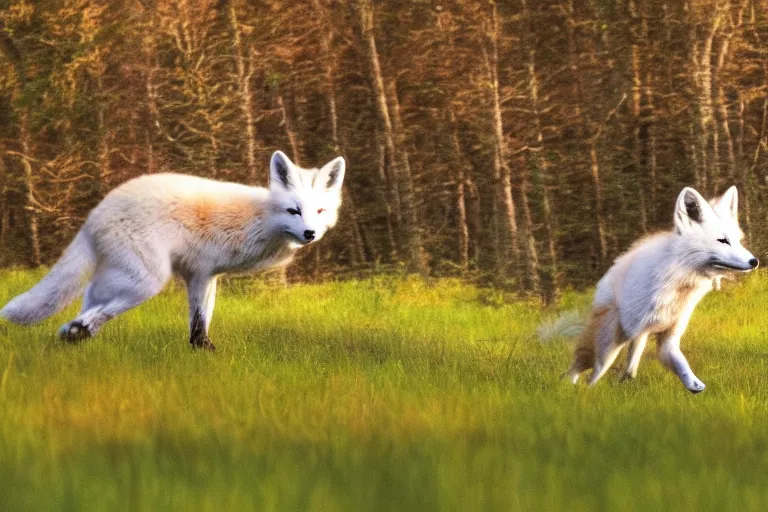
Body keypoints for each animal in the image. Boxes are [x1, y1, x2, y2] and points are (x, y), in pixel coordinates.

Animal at [0, 149, 342, 348]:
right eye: (293, 211)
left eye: (319, 211)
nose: (310, 233)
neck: (260, 219)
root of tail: (96, 213)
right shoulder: (200, 273)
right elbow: (199, 319)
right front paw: (203, 350)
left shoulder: (205, 275)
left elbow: (201, 321)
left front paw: (202, 351)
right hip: (147, 281)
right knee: (100, 306)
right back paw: (78, 330)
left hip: (122, 276)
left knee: (89, 298)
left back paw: (75, 334)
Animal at [564, 187, 756, 392]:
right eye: (723, 241)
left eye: (738, 241)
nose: (755, 261)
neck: (676, 287)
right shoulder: (633, 331)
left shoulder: (670, 334)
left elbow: (680, 363)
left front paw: (693, 384)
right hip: (609, 348)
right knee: (585, 372)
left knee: (623, 367)